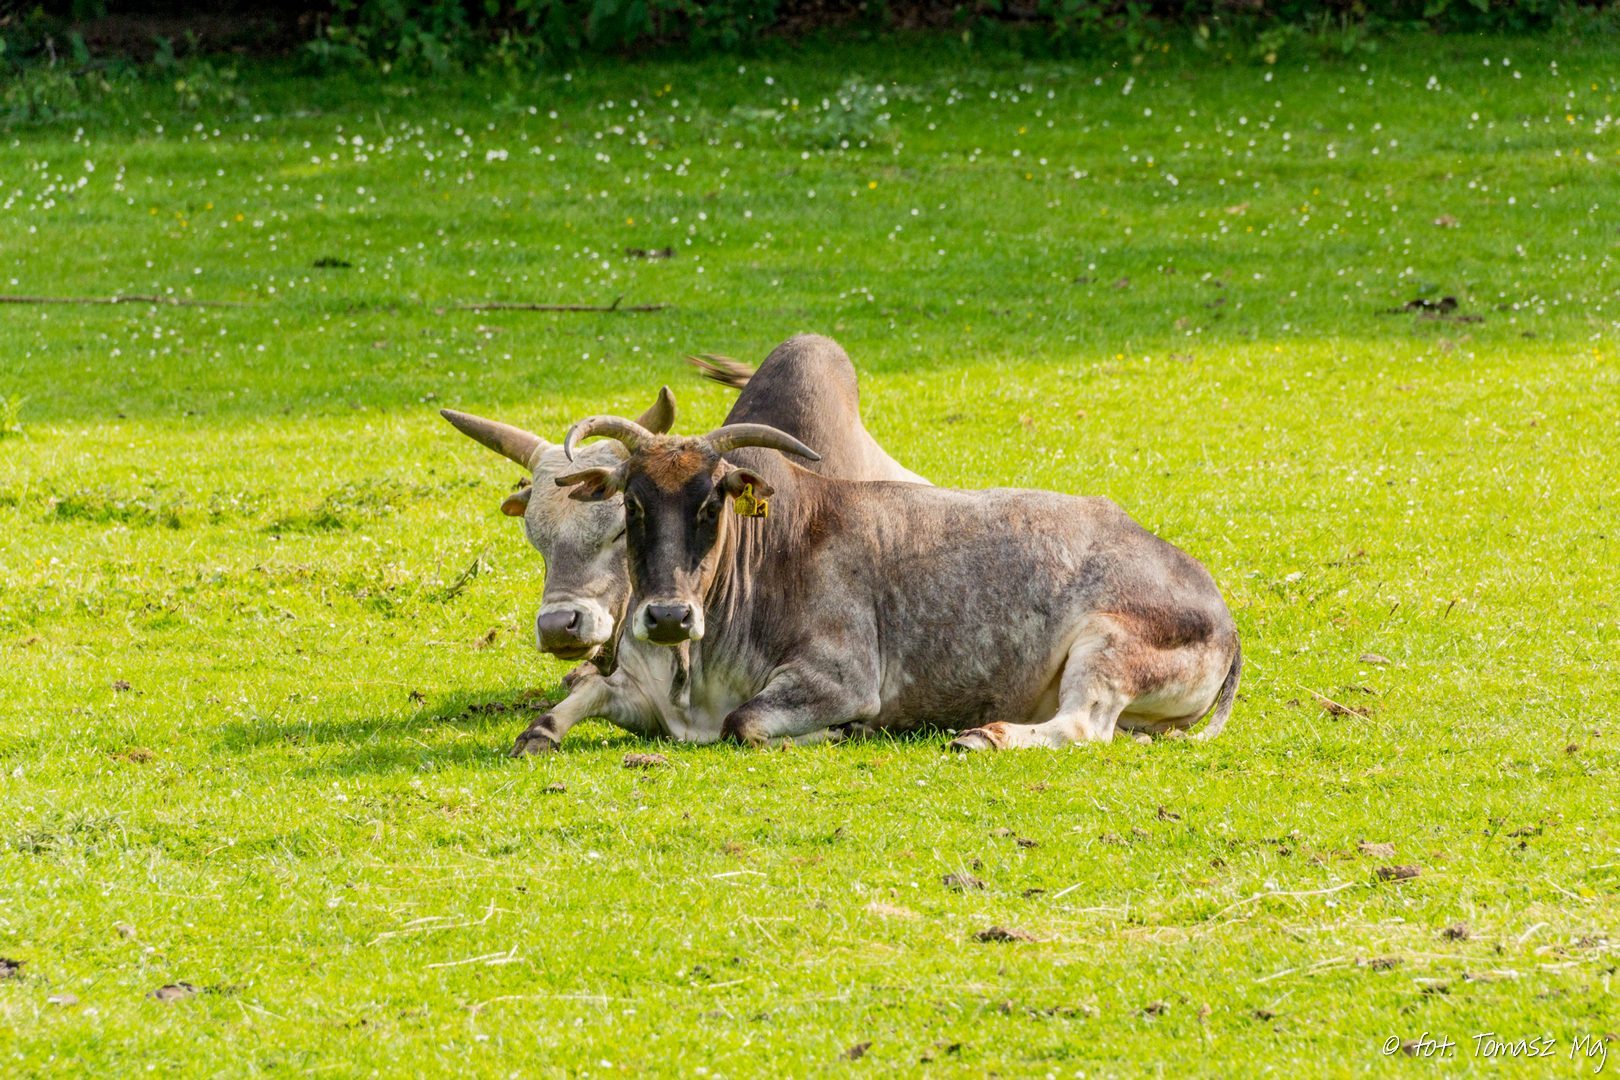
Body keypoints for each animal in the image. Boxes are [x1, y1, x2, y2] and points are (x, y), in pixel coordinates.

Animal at [547, 417, 1241, 751]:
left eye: (712, 502)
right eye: (631, 505)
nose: (668, 617)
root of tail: (1222, 612)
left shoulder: (841, 677)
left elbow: (744, 724)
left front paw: (842, 732)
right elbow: (569, 704)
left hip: (1107, 649)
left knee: (1079, 726)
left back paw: (983, 737)